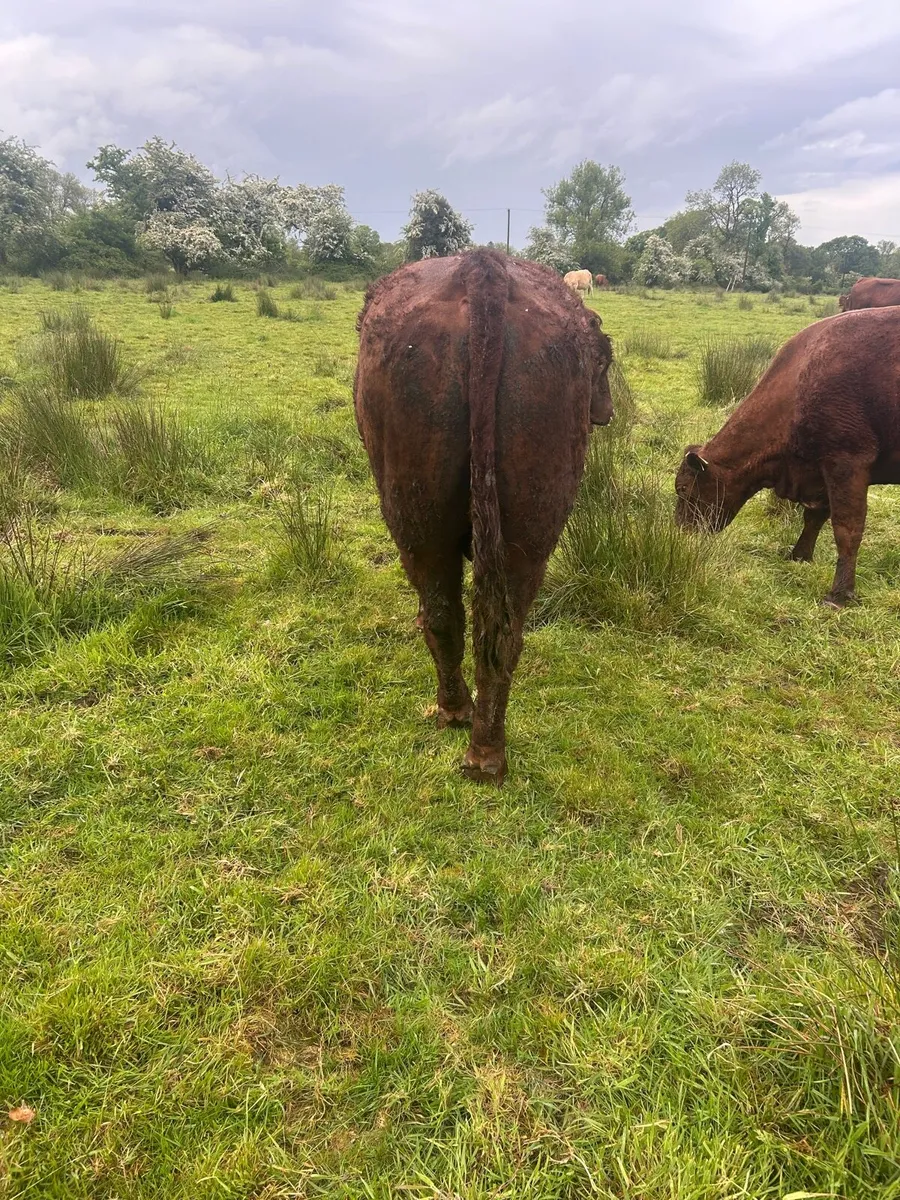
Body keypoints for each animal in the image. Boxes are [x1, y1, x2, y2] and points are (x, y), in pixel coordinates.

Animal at [355, 249, 614, 783]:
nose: (609, 409)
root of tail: (483, 267)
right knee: (493, 633)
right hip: (520, 538)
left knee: (446, 616)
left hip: (419, 528)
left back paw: (457, 717)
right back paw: (484, 749)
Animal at [675, 306, 900, 607]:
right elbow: (814, 517)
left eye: (684, 490)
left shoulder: (846, 464)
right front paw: (799, 555)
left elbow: (847, 529)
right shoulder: (820, 474)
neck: (801, 379)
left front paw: (840, 594)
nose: (680, 535)